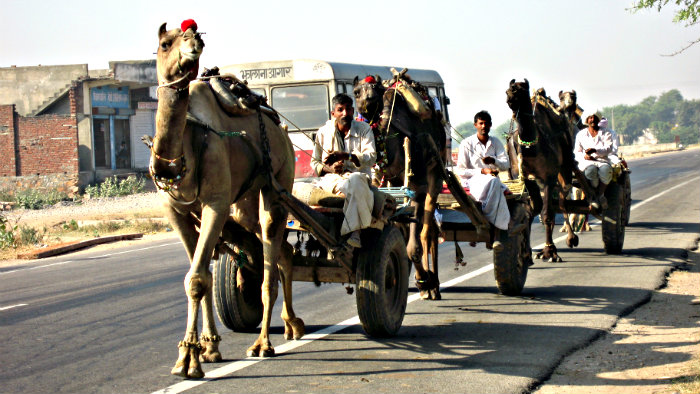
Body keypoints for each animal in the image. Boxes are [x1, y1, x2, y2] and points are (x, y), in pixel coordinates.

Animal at [152, 21, 304, 378]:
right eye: (165, 43)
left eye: (192, 34)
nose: (194, 40)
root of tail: (281, 129)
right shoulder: (177, 212)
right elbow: (202, 276)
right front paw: (208, 348)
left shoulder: (215, 204)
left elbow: (196, 278)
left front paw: (188, 358)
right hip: (243, 205)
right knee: (282, 251)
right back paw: (292, 324)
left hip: (277, 183)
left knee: (270, 259)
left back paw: (263, 343)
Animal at [352, 70, 446, 298]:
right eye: (356, 92)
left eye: (376, 89)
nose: (368, 99)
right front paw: (421, 282)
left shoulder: (418, 186)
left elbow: (414, 245)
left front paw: (424, 281)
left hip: (436, 169)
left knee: (428, 229)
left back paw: (434, 284)